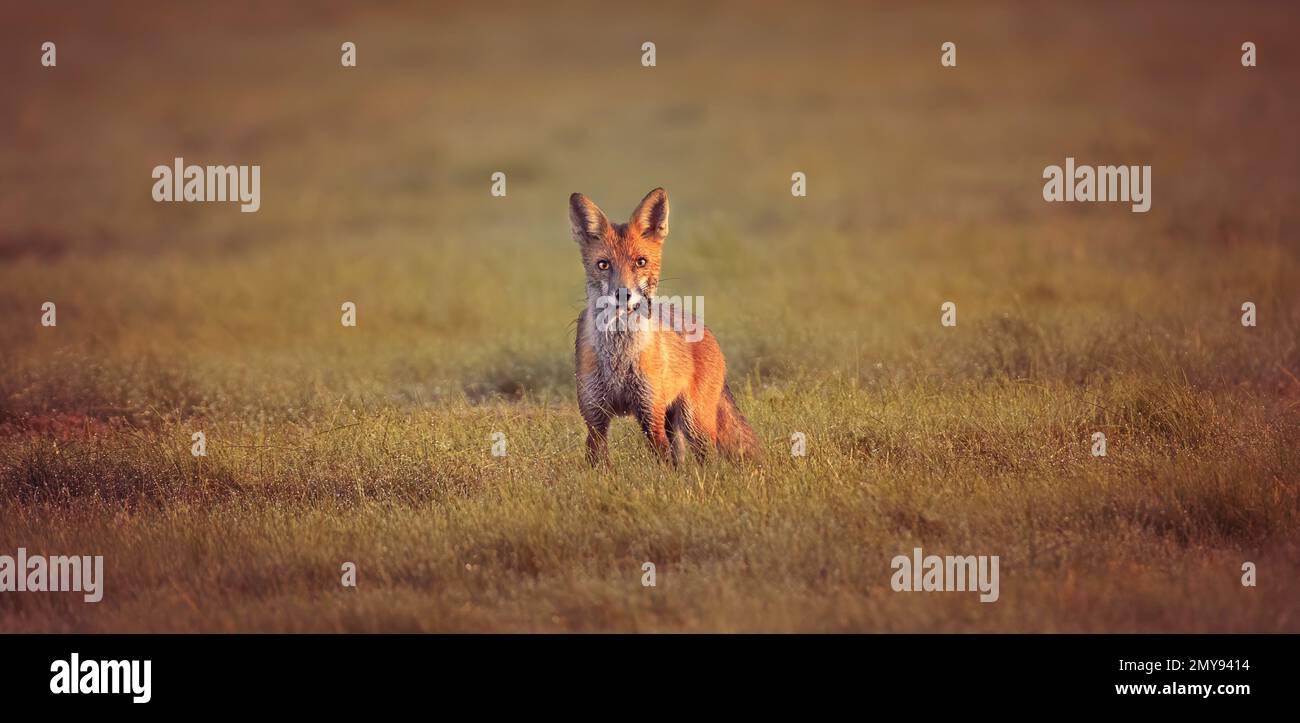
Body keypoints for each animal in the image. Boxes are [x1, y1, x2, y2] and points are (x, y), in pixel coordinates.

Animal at [569, 189, 759, 465]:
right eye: (603, 264)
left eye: (641, 262)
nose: (623, 294)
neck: (618, 359)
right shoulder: (595, 418)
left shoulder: (651, 415)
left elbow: (664, 466)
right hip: (673, 423)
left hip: (694, 423)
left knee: (708, 459)